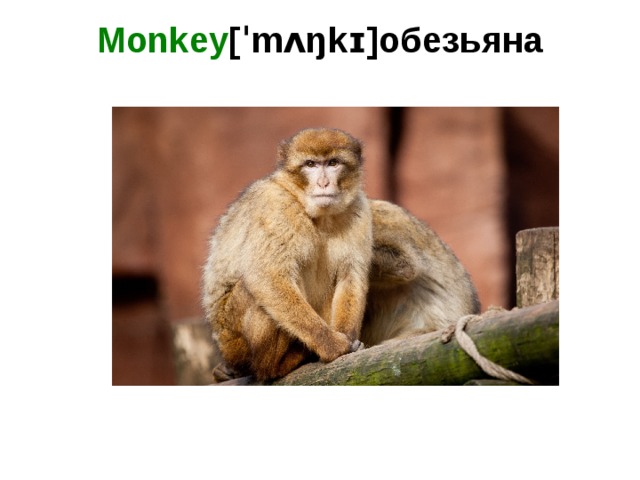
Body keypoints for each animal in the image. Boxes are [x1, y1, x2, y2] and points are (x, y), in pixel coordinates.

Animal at [202, 128, 372, 382]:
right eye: (311, 164)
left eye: (333, 163)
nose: (323, 182)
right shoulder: (276, 206)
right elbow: (266, 276)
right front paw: (331, 345)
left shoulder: (359, 209)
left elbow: (350, 276)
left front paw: (350, 340)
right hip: (235, 343)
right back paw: (276, 366)